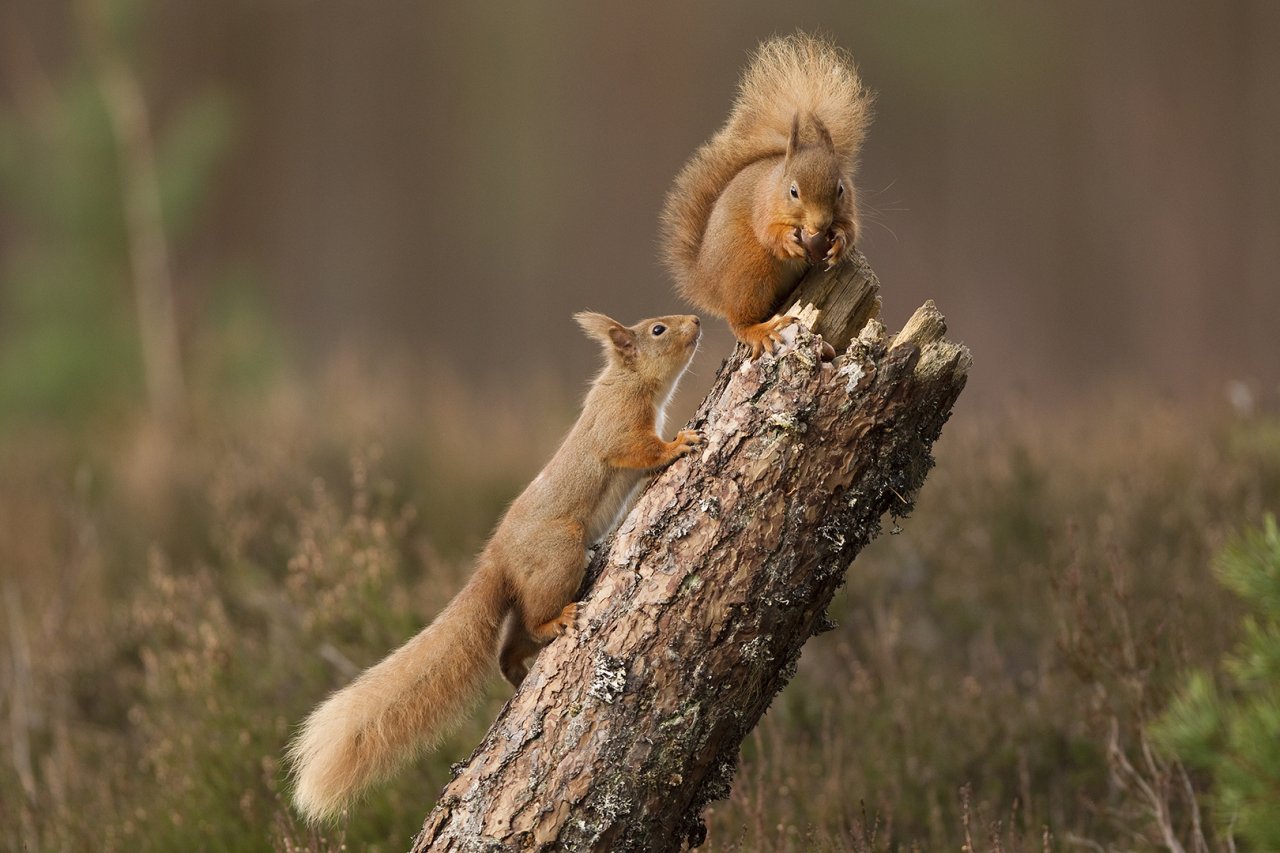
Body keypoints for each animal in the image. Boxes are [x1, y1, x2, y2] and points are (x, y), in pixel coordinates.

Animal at [287, 311, 703, 823]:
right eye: (658, 330)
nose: (697, 320)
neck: (629, 382)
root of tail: (498, 559)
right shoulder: (618, 429)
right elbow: (641, 451)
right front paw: (679, 444)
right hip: (560, 556)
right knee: (532, 620)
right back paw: (555, 623)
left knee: (509, 646)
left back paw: (519, 670)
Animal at [660, 32, 873, 358]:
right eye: (793, 191)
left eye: (840, 189)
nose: (820, 225)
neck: (775, 183)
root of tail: (708, 282)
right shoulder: (762, 206)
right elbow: (768, 232)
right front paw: (788, 242)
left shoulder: (848, 209)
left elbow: (851, 228)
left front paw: (838, 243)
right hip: (751, 269)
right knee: (739, 321)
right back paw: (759, 330)